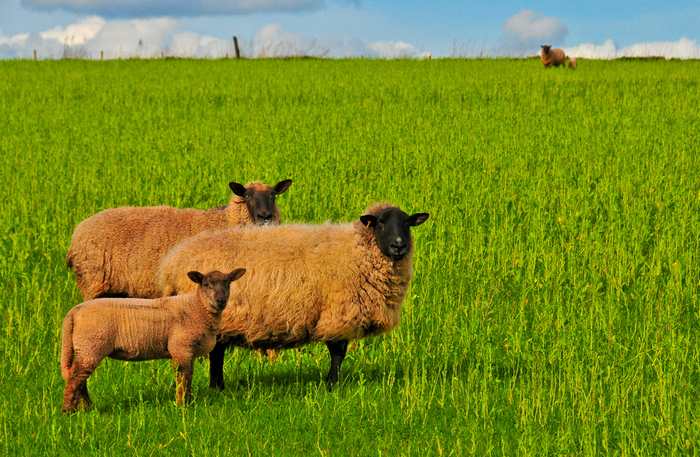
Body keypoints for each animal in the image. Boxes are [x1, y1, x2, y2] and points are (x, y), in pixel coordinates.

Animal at [60, 268, 246, 413]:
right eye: (206, 284)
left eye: (228, 283)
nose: (220, 300)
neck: (197, 307)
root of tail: (74, 312)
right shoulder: (181, 348)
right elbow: (184, 378)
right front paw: (182, 405)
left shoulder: (186, 351)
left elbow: (187, 377)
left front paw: (188, 401)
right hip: (91, 345)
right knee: (76, 378)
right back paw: (68, 411)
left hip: (86, 348)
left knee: (79, 378)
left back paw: (87, 408)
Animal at [66, 179, 291, 300]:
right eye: (247, 196)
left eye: (273, 195)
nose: (265, 216)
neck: (224, 221)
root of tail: (77, 234)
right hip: (92, 282)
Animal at [157, 203, 430, 390]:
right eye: (380, 223)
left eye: (407, 223)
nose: (399, 245)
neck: (358, 251)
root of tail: (173, 261)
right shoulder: (337, 313)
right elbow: (338, 353)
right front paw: (332, 384)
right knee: (216, 353)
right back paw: (217, 386)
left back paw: (218, 386)